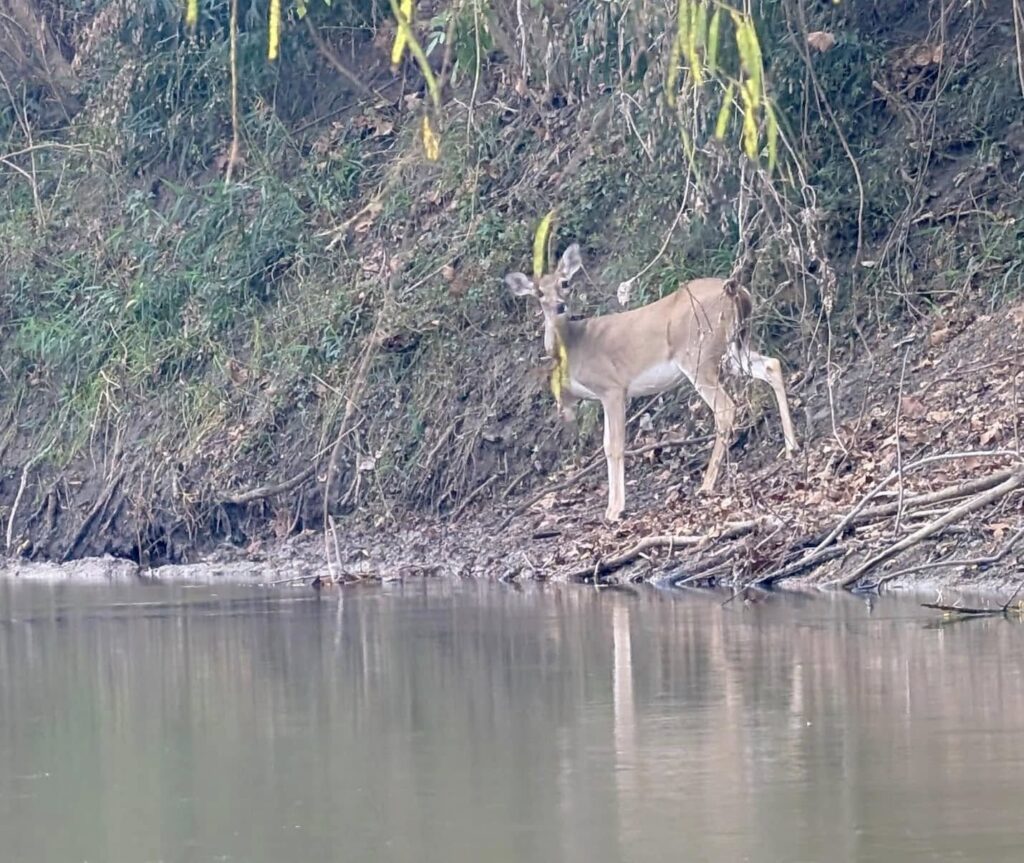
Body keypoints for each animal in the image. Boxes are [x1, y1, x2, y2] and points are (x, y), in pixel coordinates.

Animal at [505, 243, 799, 522]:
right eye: (539, 293)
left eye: (564, 283)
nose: (559, 306)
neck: (574, 346)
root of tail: (736, 291)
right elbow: (607, 444)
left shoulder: (613, 387)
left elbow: (613, 446)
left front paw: (615, 510)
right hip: (735, 346)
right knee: (771, 365)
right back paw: (791, 447)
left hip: (698, 353)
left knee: (725, 408)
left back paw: (707, 484)